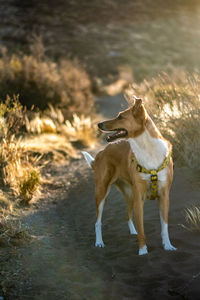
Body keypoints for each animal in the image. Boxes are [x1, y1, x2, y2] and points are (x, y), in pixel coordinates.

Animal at [82, 96, 177, 255]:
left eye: (121, 117)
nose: (99, 124)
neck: (148, 150)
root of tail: (102, 152)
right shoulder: (140, 198)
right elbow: (142, 230)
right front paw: (143, 251)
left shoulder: (164, 196)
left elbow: (164, 226)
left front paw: (168, 246)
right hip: (101, 193)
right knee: (97, 221)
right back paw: (99, 242)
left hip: (130, 193)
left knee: (127, 215)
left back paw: (132, 232)